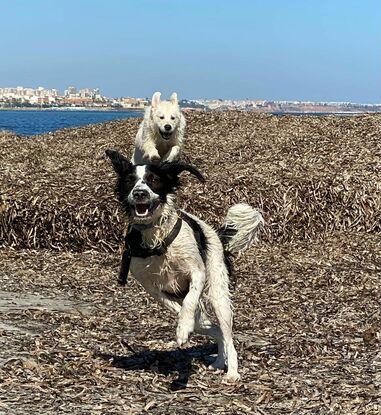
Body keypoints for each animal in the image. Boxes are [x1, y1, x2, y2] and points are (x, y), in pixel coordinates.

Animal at [105, 150, 262, 384]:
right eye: (130, 181)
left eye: (154, 180)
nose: (140, 193)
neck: (158, 241)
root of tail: (217, 234)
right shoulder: (151, 286)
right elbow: (178, 308)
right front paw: (186, 326)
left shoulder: (197, 272)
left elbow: (190, 301)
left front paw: (184, 327)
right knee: (214, 329)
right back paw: (218, 360)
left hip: (218, 295)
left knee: (227, 334)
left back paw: (232, 371)